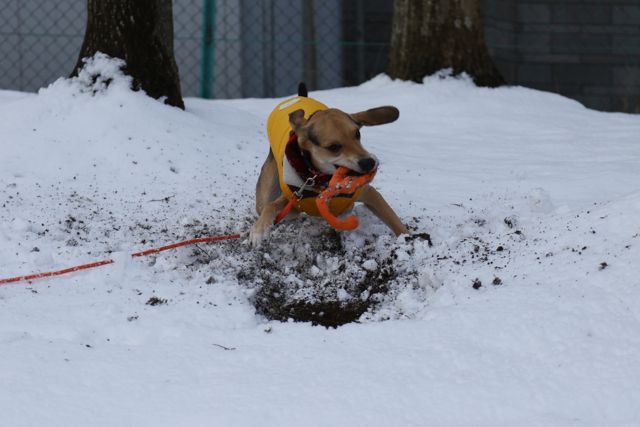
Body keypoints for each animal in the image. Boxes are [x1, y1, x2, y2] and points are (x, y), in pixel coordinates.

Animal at [249, 88, 404, 246]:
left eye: (357, 133)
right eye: (333, 147)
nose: (369, 162)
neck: (324, 182)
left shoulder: (369, 193)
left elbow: (395, 222)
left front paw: (407, 239)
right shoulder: (294, 203)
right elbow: (271, 206)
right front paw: (259, 229)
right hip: (266, 192)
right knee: (264, 204)